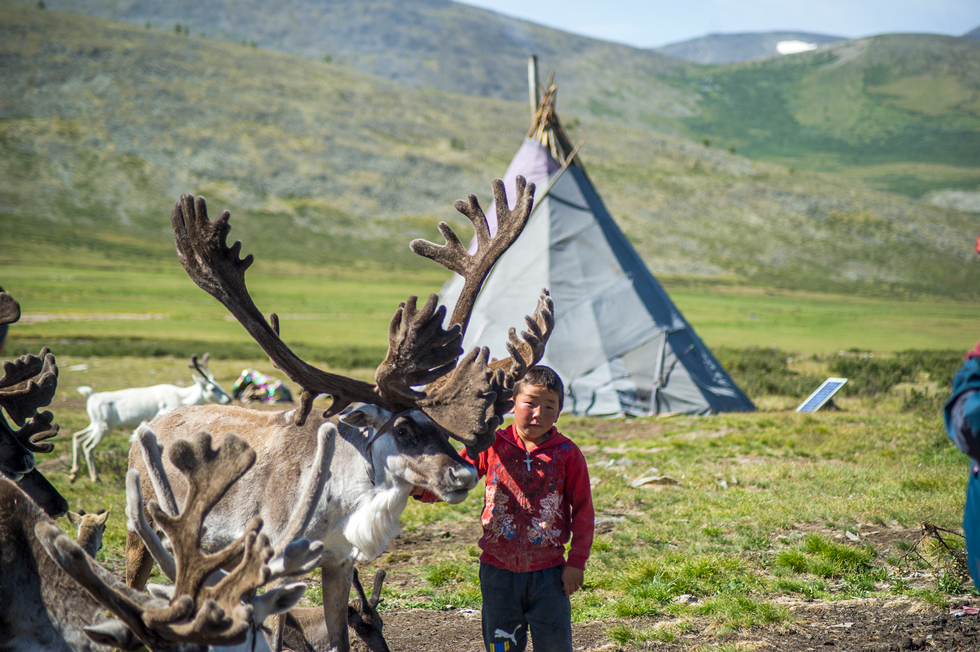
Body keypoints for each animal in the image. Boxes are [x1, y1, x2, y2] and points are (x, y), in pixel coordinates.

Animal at [71, 353, 233, 483]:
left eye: (218, 384)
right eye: (212, 388)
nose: (229, 398)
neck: (182, 396)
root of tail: (91, 396)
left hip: (96, 425)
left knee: (77, 436)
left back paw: (74, 474)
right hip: (103, 427)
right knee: (88, 446)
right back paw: (95, 478)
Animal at [126, 178, 553, 652]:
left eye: (443, 430)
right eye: (403, 428)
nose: (462, 474)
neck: (340, 499)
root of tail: (147, 428)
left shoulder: (339, 563)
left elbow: (339, 637)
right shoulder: (274, 564)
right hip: (141, 533)